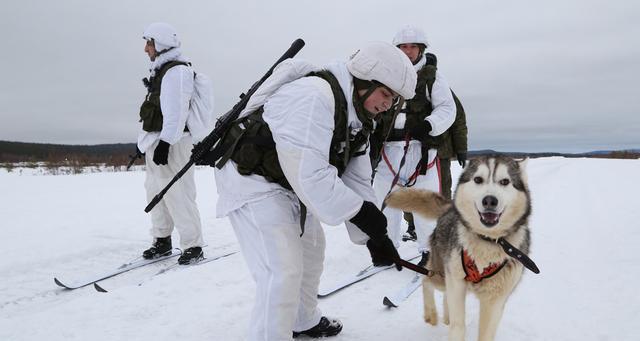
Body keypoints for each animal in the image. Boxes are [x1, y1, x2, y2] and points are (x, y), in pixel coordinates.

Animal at [384, 155, 540, 340]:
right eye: (478, 179)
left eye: (505, 181)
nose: (489, 200)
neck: (487, 242)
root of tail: (450, 207)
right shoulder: (457, 282)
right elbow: (458, 326)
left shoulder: (495, 300)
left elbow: (485, 333)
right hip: (442, 275)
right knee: (426, 280)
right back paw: (431, 314)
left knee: (444, 296)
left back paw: (446, 317)